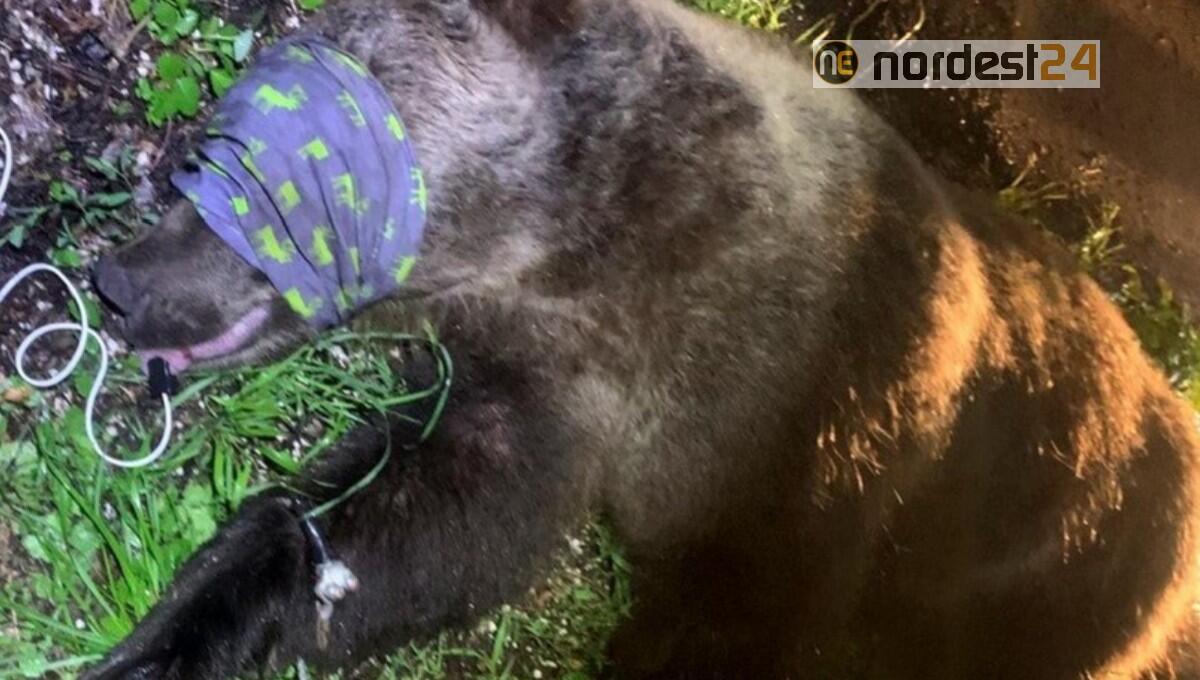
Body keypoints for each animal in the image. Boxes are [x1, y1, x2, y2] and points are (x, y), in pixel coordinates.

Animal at [85, 0, 1200, 678]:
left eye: (269, 165)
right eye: (209, 144)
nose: (124, 283)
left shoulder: (823, 437)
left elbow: (734, 610)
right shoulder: (559, 386)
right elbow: (414, 520)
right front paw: (169, 636)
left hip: (1060, 577)